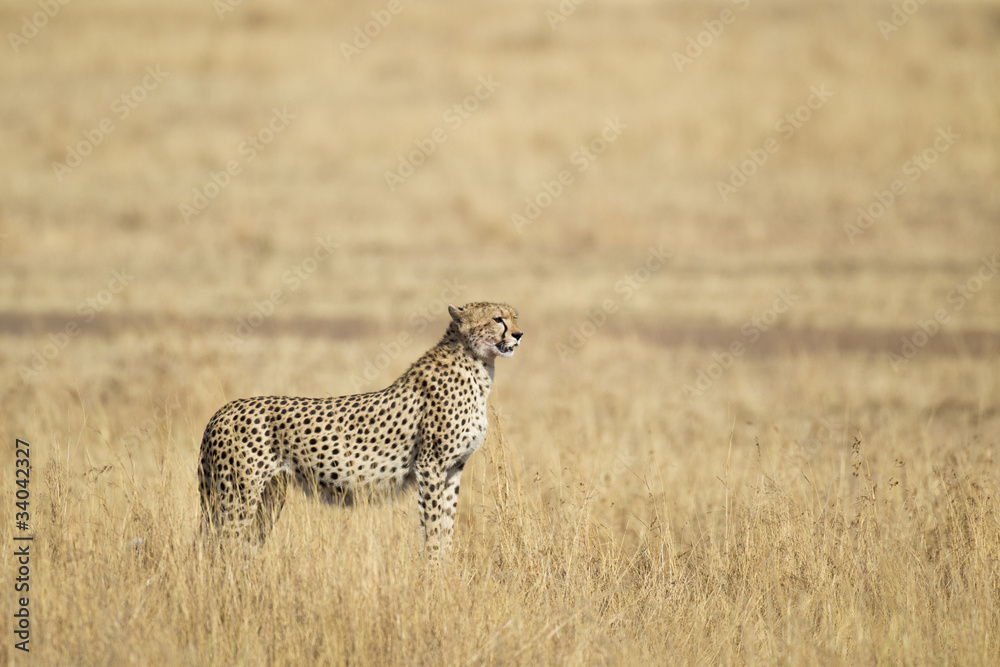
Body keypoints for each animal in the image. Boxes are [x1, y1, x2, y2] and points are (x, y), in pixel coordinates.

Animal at [198, 301, 522, 558]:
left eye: (514, 317)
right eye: (497, 319)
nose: (519, 335)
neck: (477, 364)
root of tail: (221, 412)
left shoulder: (454, 467)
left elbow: (447, 524)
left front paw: (447, 568)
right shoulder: (430, 466)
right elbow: (431, 526)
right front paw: (432, 573)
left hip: (268, 494)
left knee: (242, 546)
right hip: (237, 494)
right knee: (222, 547)